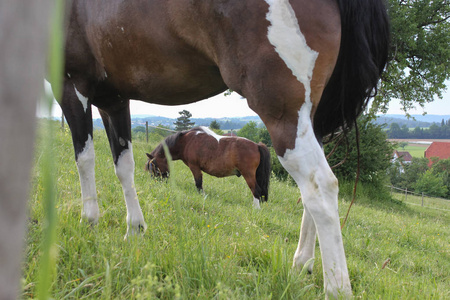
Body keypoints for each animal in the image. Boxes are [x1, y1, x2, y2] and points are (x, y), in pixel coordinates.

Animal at [58, 0, 390, 298]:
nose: (159, 183)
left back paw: (336, 286)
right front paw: (134, 229)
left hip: (284, 116)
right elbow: (122, 166)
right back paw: (302, 264)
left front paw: (89, 220)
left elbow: (85, 159)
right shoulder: (113, 99)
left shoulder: (72, 85)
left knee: (318, 187)